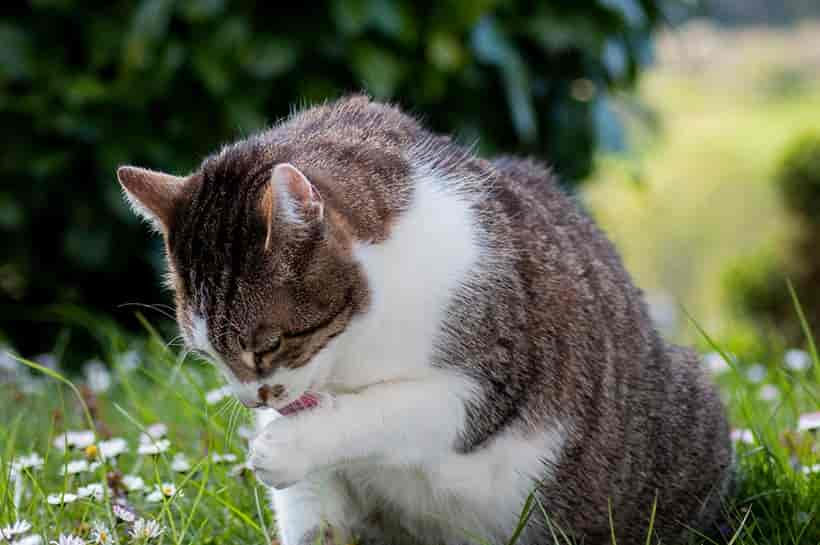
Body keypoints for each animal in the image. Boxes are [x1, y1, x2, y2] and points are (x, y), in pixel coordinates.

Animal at [117, 94, 732, 544]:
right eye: (207, 355)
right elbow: (315, 512)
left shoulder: (492, 376)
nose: (251, 401)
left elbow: (394, 409)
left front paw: (285, 445)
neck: (355, 350)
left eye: (268, 345)